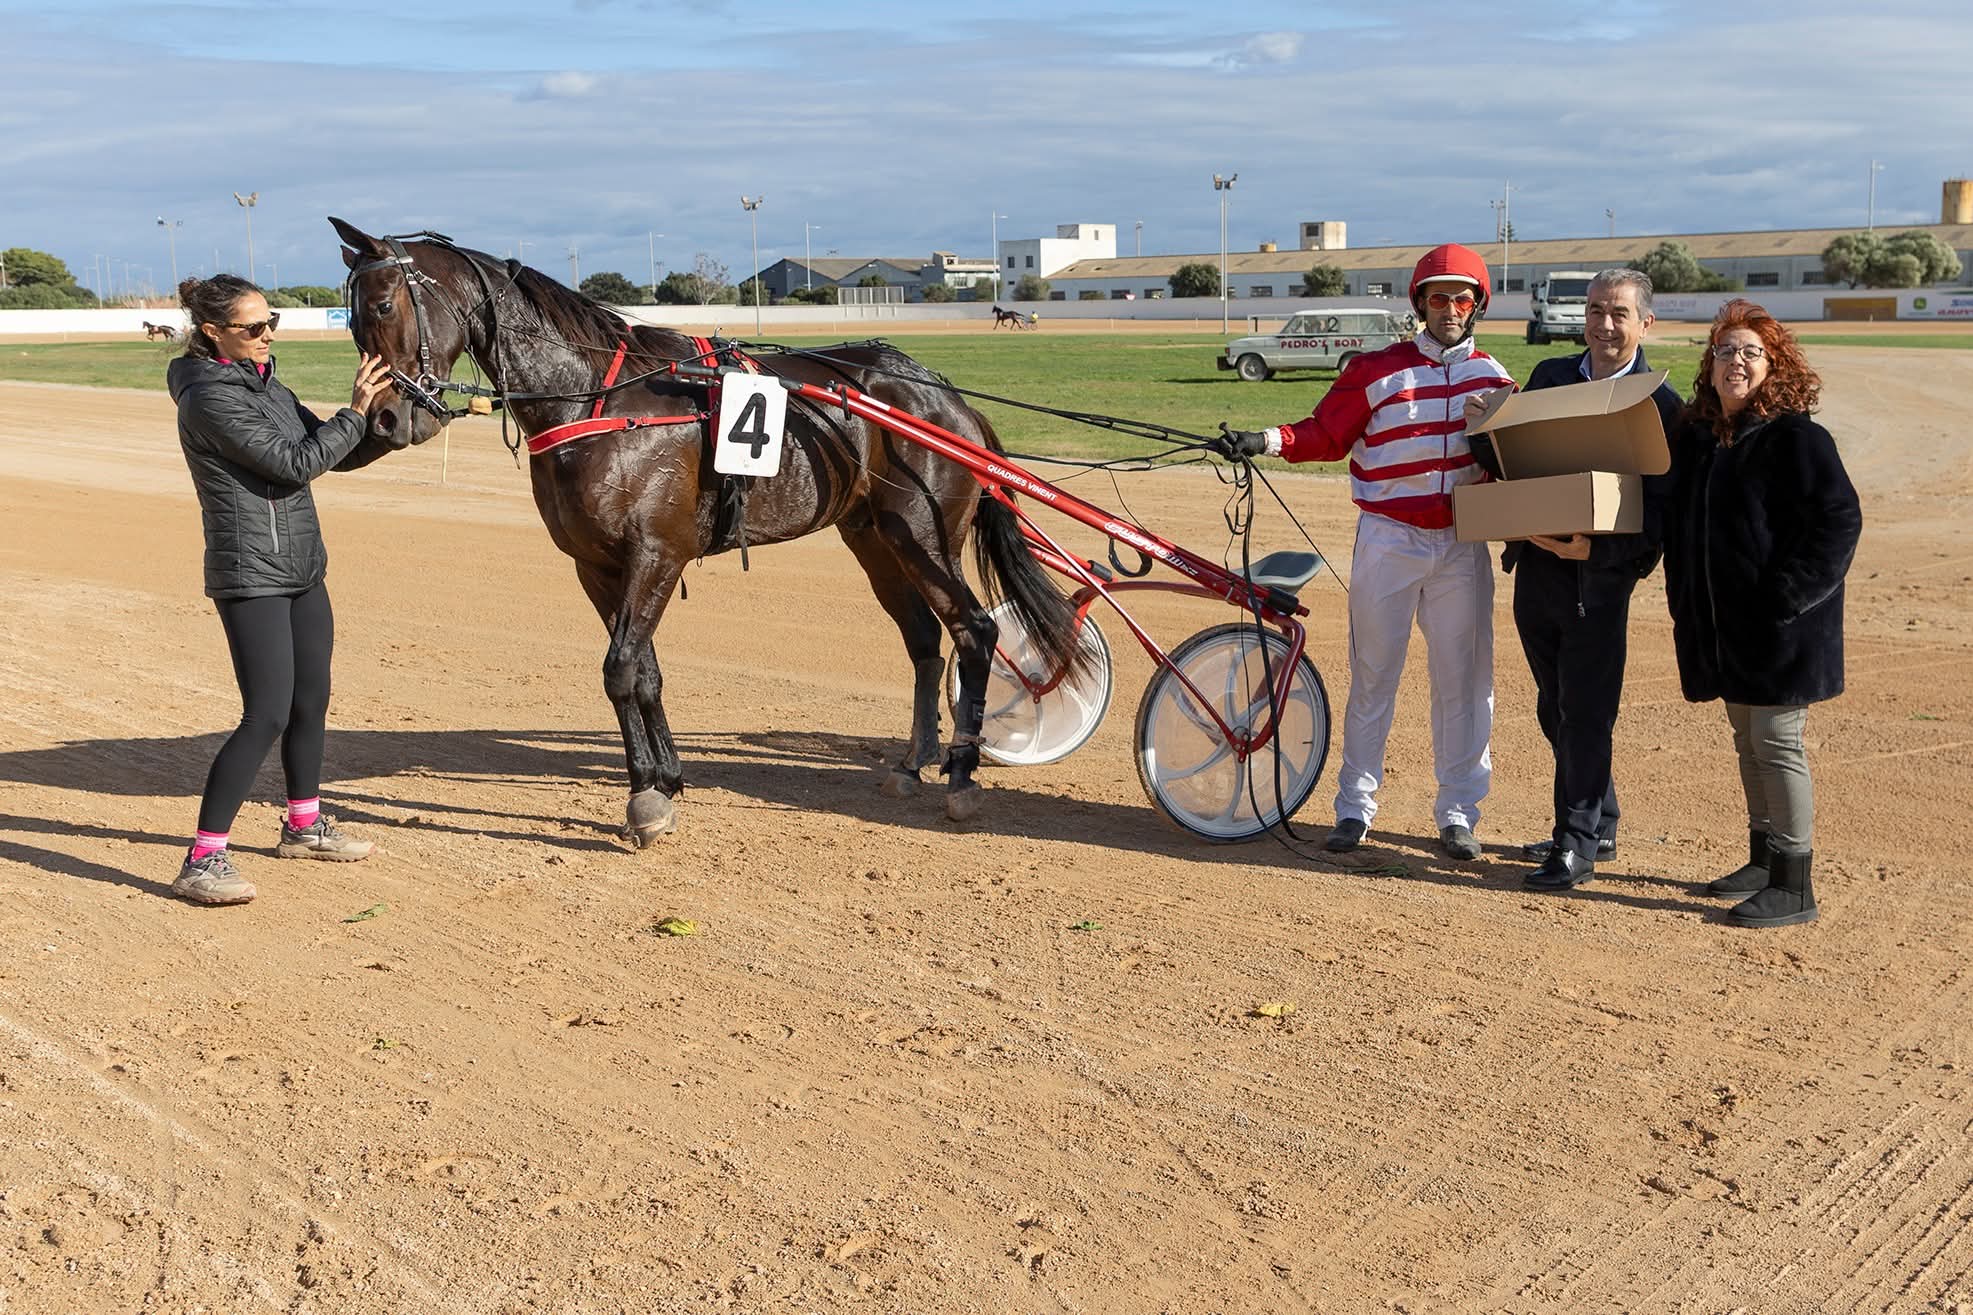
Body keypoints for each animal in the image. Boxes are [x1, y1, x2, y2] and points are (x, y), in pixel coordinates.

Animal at [328, 218, 1083, 845]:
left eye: (385, 306)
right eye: (352, 320)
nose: (386, 419)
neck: (598, 398)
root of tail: (943, 393)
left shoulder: (657, 552)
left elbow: (620, 669)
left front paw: (644, 801)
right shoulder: (597, 564)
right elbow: (644, 672)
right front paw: (662, 777)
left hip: (923, 532)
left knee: (974, 631)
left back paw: (961, 774)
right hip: (874, 537)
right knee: (925, 640)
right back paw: (912, 762)